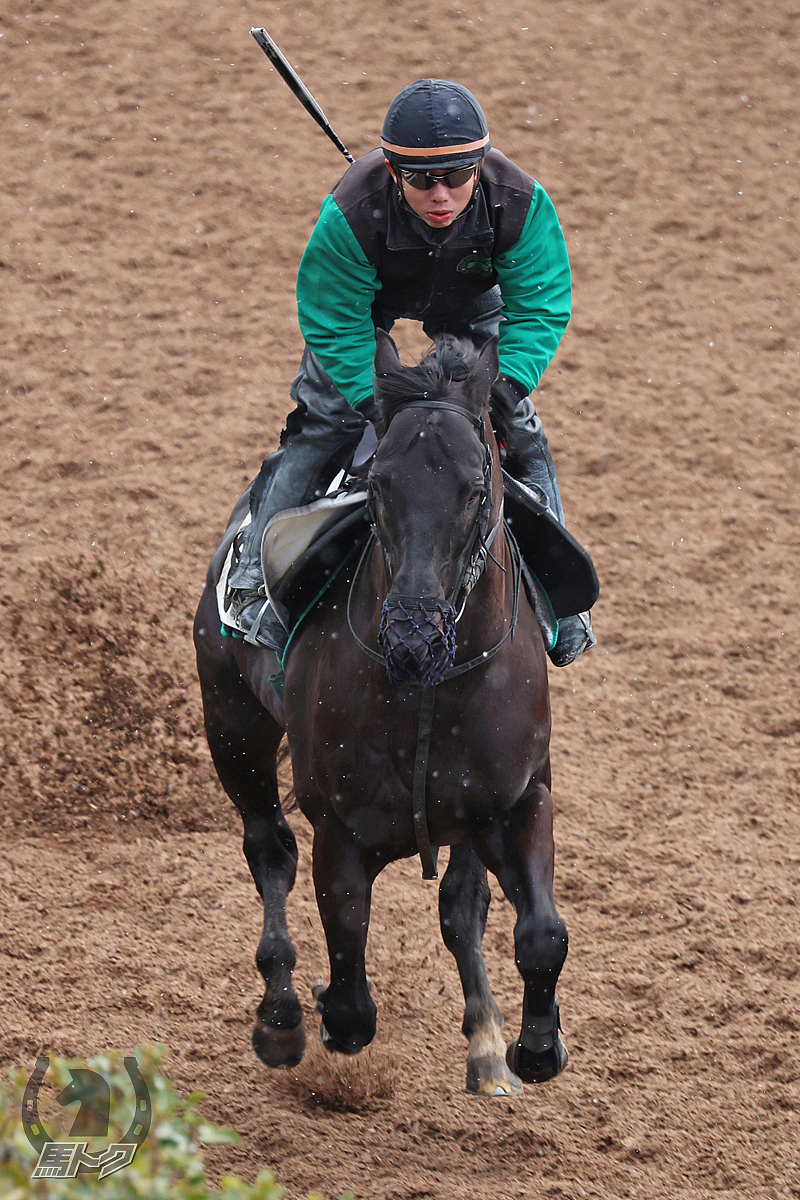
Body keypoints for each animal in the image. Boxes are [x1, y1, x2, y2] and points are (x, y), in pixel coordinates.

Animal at [194, 328, 568, 1099]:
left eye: (476, 488)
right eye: (383, 485)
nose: (412, 633)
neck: (429, 686)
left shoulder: (518, 800)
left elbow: (539, 933)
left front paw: (534, 1045)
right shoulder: (340, 829)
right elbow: (349, 996)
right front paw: (314, 1011)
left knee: (461, 906)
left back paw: (486, 1042)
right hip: (232, 723)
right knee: (268, 848)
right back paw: (281, 1014)